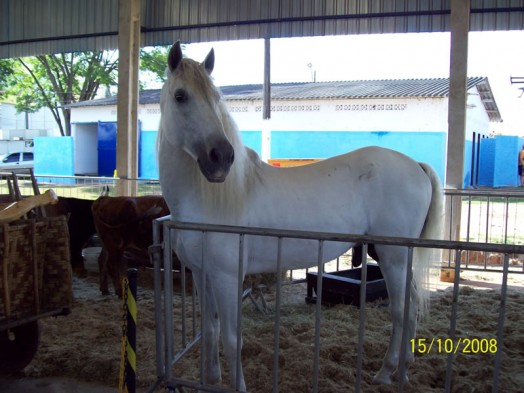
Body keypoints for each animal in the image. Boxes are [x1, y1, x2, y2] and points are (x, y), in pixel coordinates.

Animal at [159, 41, 442, 390]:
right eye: (180, 95)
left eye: (216, 97)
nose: (221, 158)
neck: (206, 200)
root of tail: (416, 165)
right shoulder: (202, 274)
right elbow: (210, 330)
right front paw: (211, 380)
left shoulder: (227, 276)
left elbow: (231, 339)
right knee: (412, 305)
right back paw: (403, 366)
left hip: (394, 257)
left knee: (402, 311)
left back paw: (388, 373)